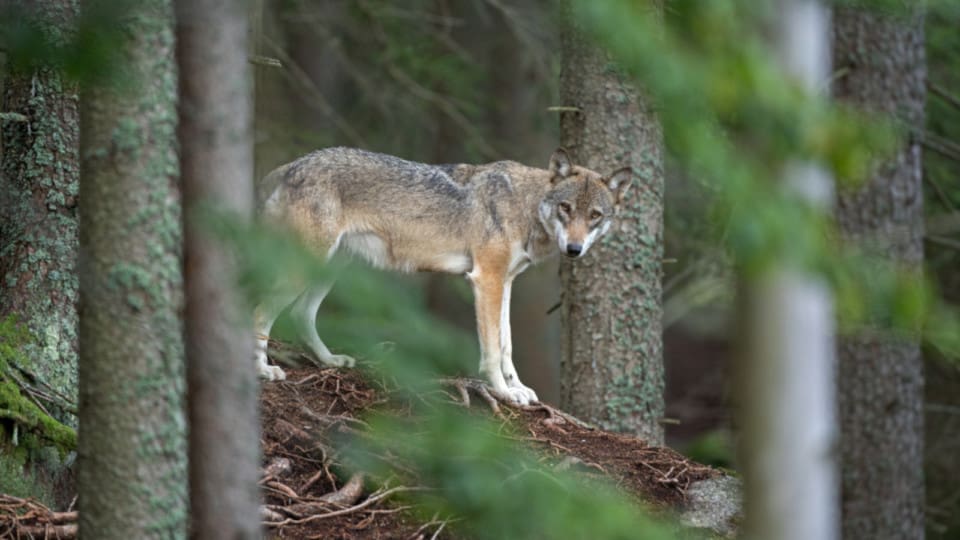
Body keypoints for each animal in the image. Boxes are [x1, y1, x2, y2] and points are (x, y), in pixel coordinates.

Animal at [251, 148, 632, 404]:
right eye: (566, 209)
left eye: (595, 215)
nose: (574, 249)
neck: (526, 206)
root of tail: (290, 166)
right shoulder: (486, 279)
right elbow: (492, 350)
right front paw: (503, 393)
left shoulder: (505, 282)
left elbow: (507, 345)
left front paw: (518, 388)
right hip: (304, 266)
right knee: (258, 312)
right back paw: (262, 371)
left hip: (330, 268)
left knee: (301, 314)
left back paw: (330, 360)